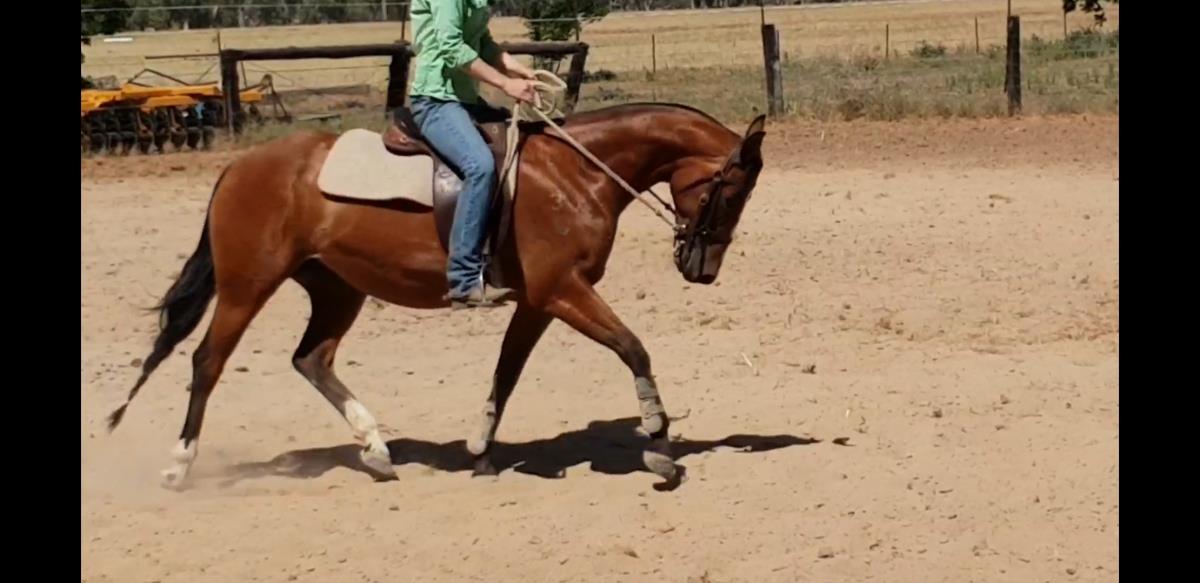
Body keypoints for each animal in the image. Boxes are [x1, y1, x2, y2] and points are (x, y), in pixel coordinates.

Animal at [107, 102, 767, 490]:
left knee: (312, 359)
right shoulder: (562, 290)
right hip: (249, 284)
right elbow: (633, 348)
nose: (701, 269)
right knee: (208, 361)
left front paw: (481, 452)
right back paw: (179, 464)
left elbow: (506, 373)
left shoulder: (538, 301)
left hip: (337, 287)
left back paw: (375, 449)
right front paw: (658, 445)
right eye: (730, 193)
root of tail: (240, 168)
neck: (575, 173)